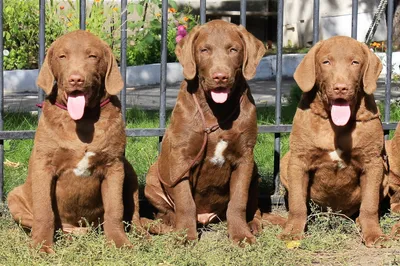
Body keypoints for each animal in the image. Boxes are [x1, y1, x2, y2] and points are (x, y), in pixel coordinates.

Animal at [6, 30, 141, 252]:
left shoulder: (114, 166)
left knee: (134, 213)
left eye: (92, 56)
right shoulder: (43, 166)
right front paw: (41, 247)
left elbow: (115, 209)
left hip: (129, 171)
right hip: (14, 197)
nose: (76, 79)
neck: (83, 120)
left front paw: (119, 243)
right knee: (47, 222)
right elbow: (44, 211)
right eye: (62, 56)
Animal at [142, 19, 282, 243]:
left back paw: (252, 224)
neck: (216, 110)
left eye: (233, 49)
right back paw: (165, 226)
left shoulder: (245, 158)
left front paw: (241, 235)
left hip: (255, 173)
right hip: (153, 176)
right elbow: (185, 202)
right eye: (204, 50)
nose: (220, 77)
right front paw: (185, 236)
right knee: (168, 212)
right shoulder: (181, 158)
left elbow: (238, 201)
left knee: (255, 209)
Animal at [280, 35, 386, 247]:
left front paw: (373, 234)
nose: (340, 88)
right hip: (284, 162)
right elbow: (297, 203)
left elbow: (370, 204)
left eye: (355, 62)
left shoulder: (373, 162)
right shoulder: (298, 161)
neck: (336, 125)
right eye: (326, 62)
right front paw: (292, 232)